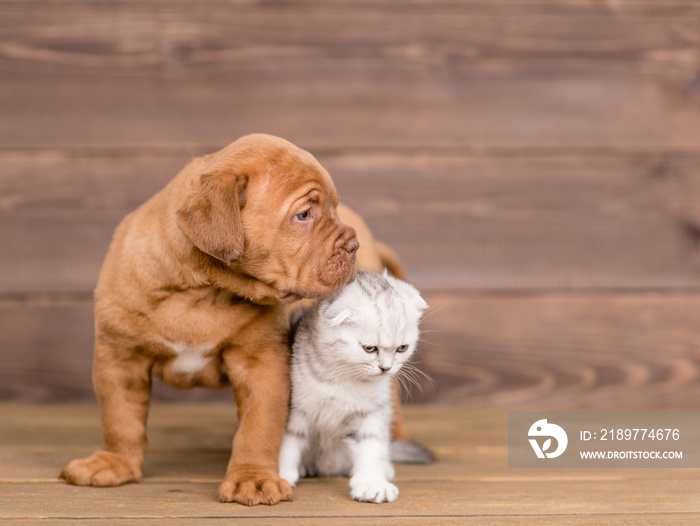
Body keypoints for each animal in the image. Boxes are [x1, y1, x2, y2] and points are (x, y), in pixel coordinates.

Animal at [61, 135, 410, 508]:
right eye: (303, 215)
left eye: (333, 210)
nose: (352, 244)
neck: (203, 290)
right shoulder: (120, 358)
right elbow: (120, 418)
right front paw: (116, 462)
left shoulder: (262, 364)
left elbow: (258, 428)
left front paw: (253, 478)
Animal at [278, 272, 432, 504]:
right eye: (369, 348)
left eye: (402, 348)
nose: (386, 368)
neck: (342, 378)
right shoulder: (294, 407)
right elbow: (288, 442)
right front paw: (278, 475)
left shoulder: (370, 412)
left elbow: (370, 446)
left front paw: (372, 483)